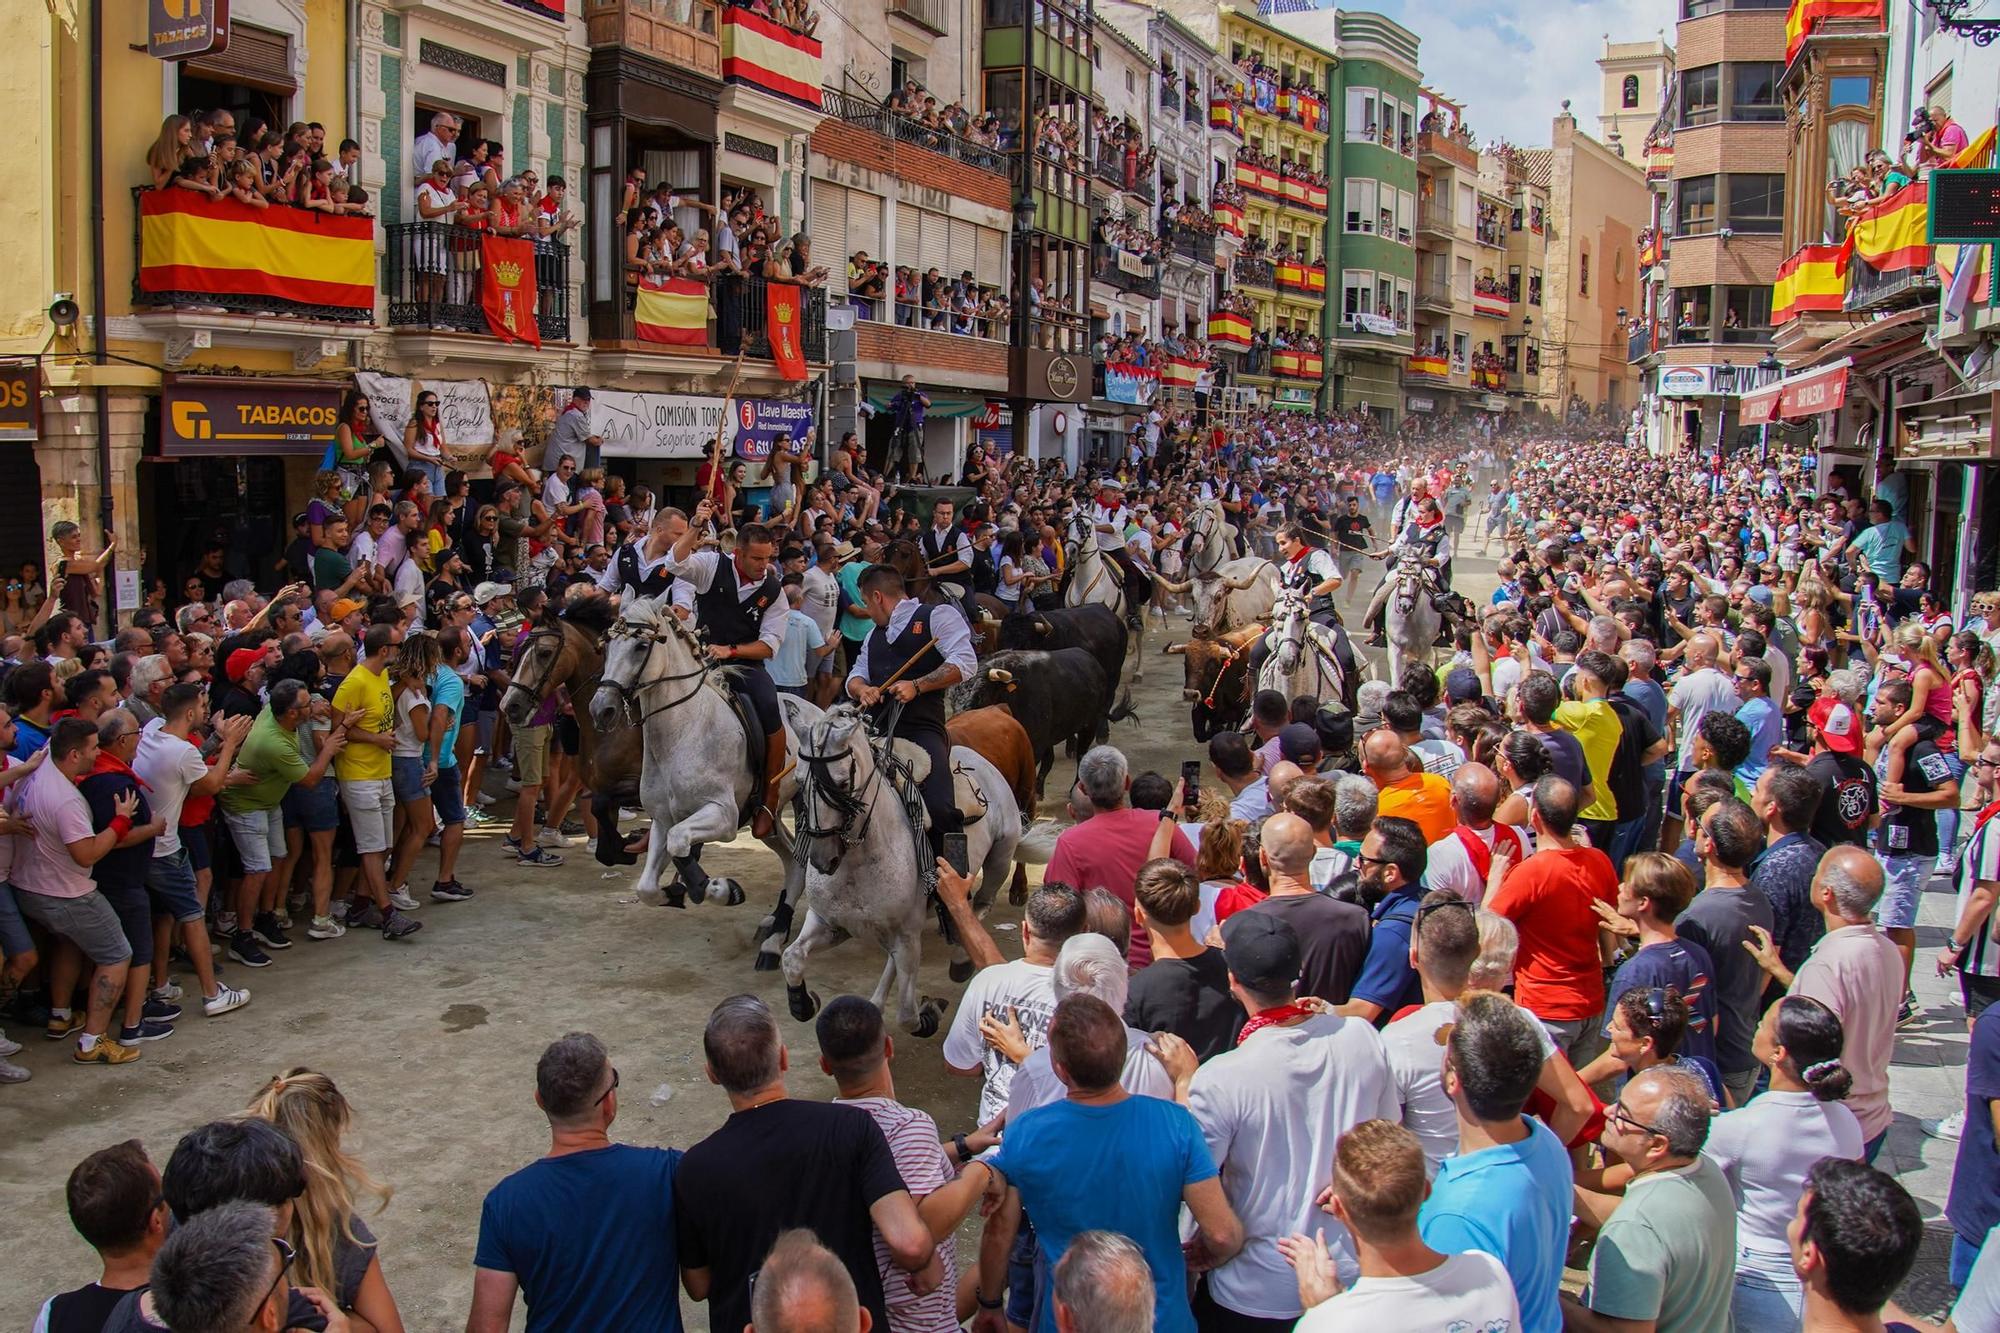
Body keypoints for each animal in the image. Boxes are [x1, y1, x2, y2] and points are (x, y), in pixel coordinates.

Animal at [588, 588, 816, 972]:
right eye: (608, 646)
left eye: (640, 646)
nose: (601, 709)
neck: (683, 732)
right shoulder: (663, 820)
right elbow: (647, 887)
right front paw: (677, 891)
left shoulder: (721, 816)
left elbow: (681, 845)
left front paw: (722, 890)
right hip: (767, 822)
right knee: (792, 862)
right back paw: (774, 928)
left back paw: (773, 941)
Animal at [780, 700, 1024, 1032]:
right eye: (799, 781)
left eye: (842, 783)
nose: (822, 859)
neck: (859, 860)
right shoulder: (830, 924)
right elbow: (791, 958)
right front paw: (804, 1003)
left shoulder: (906, 935)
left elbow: (908, 1016)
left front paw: (930, 1013)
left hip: (1000, 858)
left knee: (980, 905)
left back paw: (961, 960)